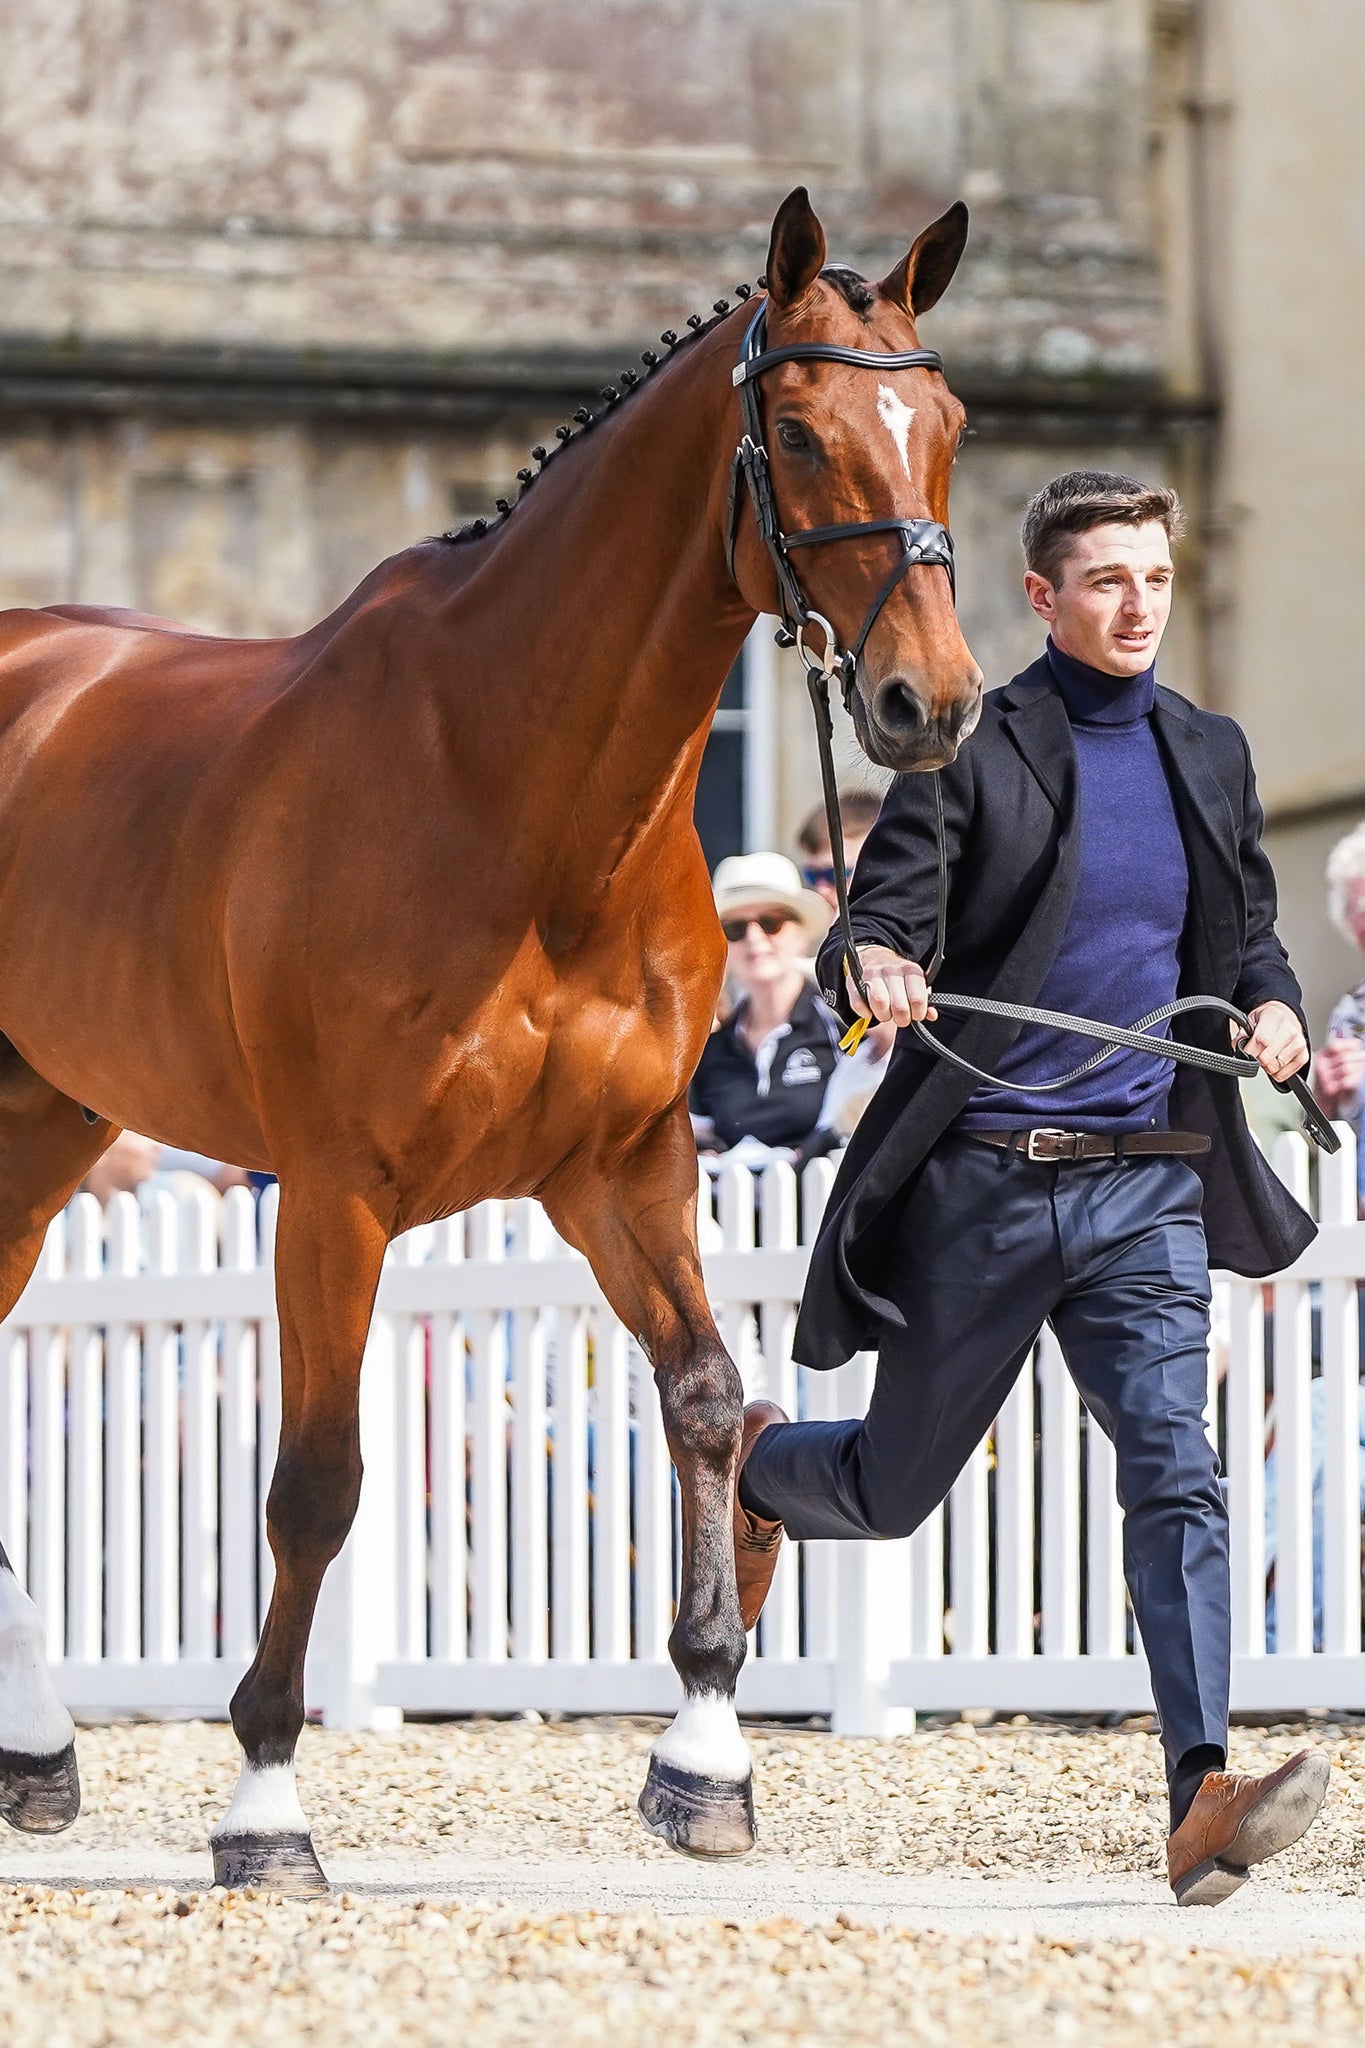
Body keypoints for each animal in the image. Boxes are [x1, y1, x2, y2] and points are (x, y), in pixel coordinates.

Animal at [0, 184, 978, 1875]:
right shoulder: (334, 1193)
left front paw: (705, 1756)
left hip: (46, 1118)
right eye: (796, 431)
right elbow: (319, 1483)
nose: (936, 702)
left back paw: (38, 1744)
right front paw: (265, 1799)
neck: (510, 786)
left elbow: (708, 1402)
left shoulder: (619, 1168)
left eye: (953, 427)